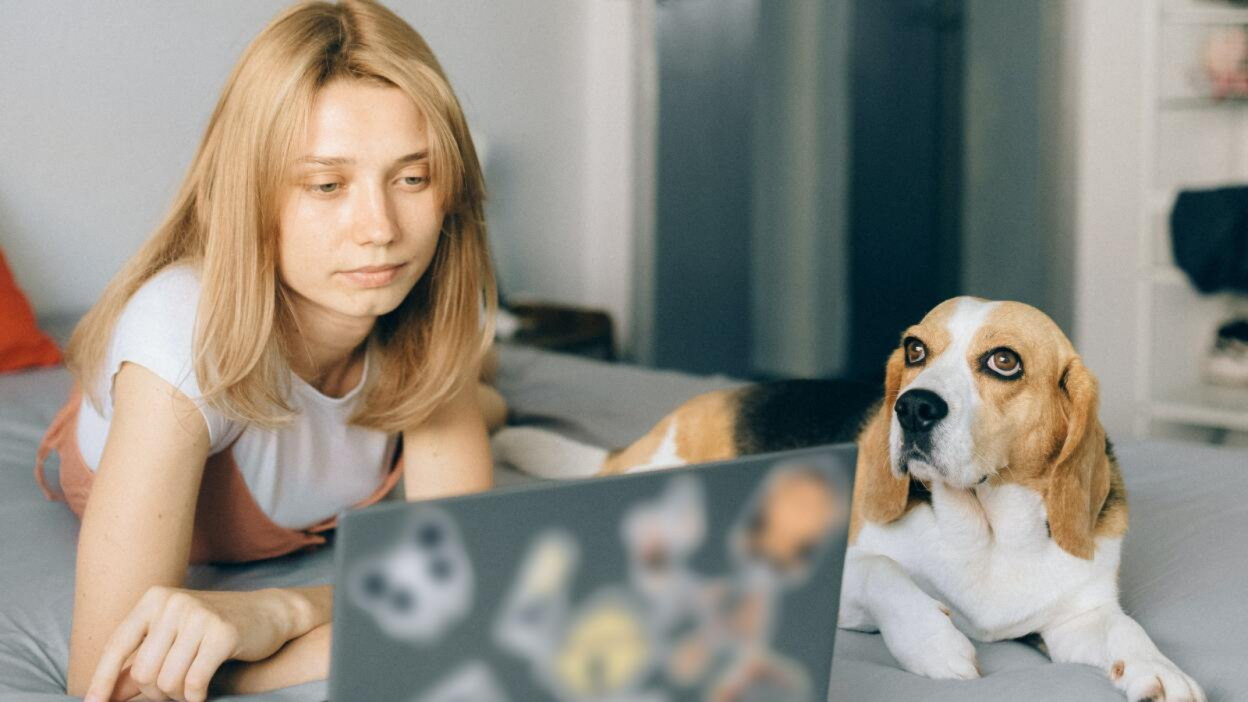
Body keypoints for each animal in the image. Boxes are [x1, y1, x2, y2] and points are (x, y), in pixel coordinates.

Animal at [491, 296, 1203, 699]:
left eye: (1004, 362)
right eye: (915, 350)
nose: (913, 408)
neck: (986, 533)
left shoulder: (1076, 618)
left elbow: (1126, 630)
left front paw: (1159, 669)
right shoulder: (848, 573)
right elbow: (885, 572)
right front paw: (935, 643)